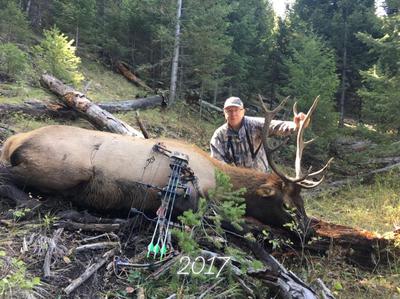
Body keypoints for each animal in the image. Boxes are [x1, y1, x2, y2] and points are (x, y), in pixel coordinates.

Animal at [0, 97, 332, 238]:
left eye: (303, 202)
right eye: (287, 204)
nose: (308, 231)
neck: (222, 182)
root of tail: (15, 140)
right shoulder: (194, 206)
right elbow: (243, 224)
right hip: (65, 168)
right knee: (8, 179)